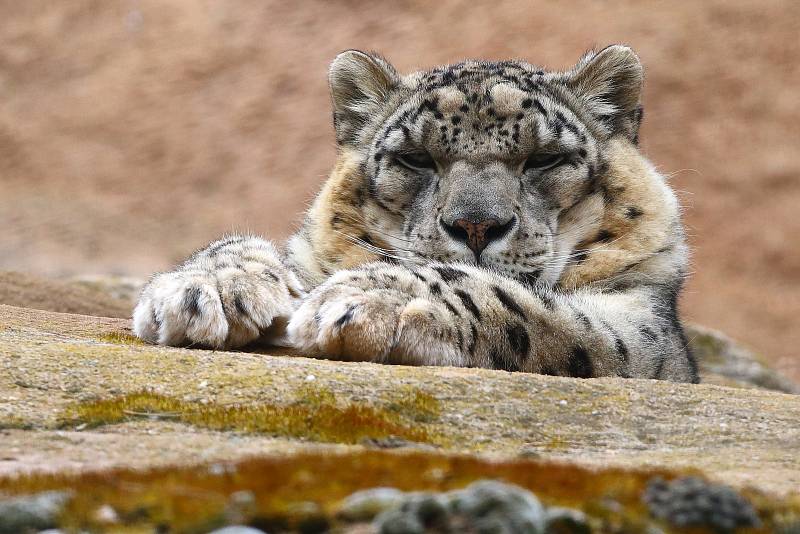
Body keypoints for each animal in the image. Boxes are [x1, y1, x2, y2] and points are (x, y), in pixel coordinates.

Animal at [134, 45, 696, 382]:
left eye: (544, 159)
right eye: (416, 158)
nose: (476, 225)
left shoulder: (639, 325)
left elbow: (517, 302)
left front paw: (378, 297)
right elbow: (235, 246)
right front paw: (208, 290)